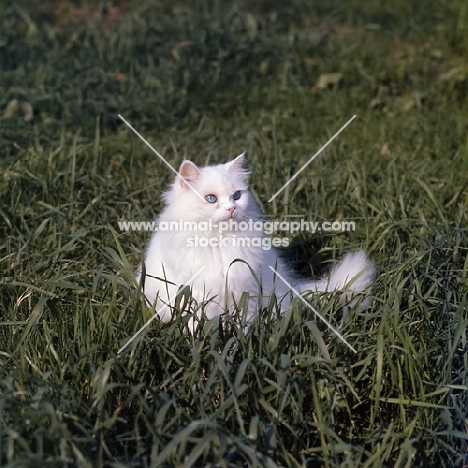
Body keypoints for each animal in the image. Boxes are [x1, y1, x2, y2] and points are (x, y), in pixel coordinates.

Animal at [134, 154, 372, 326]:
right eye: (211, 199)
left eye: (237, 196)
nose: (231, 208)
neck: (220, 242)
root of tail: (293, 287)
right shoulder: (194, 294)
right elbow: (195, 324)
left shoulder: (243, 293)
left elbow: (240, 325)